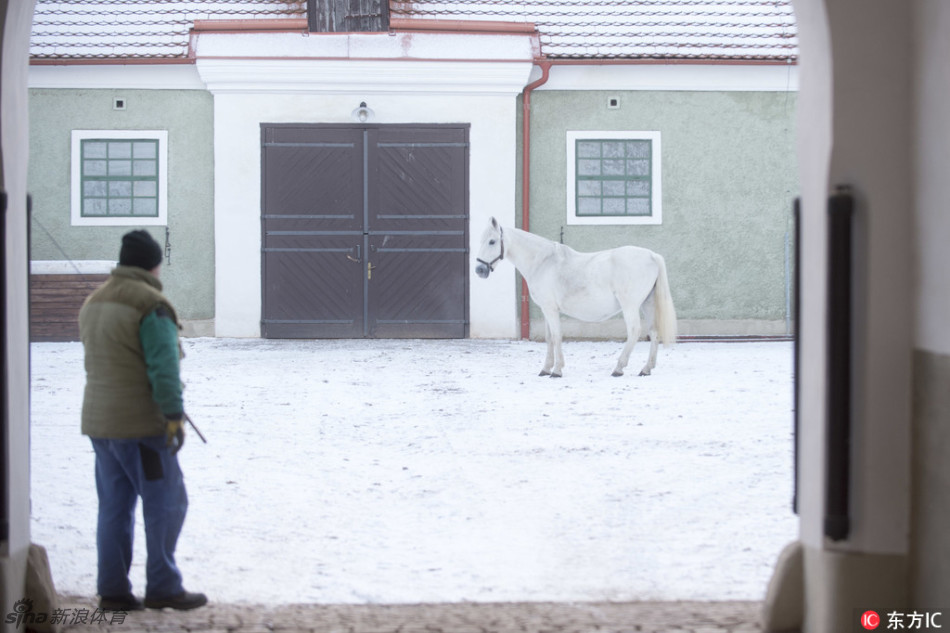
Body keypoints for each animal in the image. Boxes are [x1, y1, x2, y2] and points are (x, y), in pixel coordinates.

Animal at [476, 217, 676, 376]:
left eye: (492, 241)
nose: (479, 270)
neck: (543, 263)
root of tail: (652, 255)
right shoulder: (546, 309)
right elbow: (549, 338)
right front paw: (545, 369)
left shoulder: (550, 309)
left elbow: (557, 336)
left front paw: (557, 370)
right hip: (647, 303)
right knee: (654, 332)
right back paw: (646, 369)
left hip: (630, 306)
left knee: (634, 331)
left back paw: (619, 368)